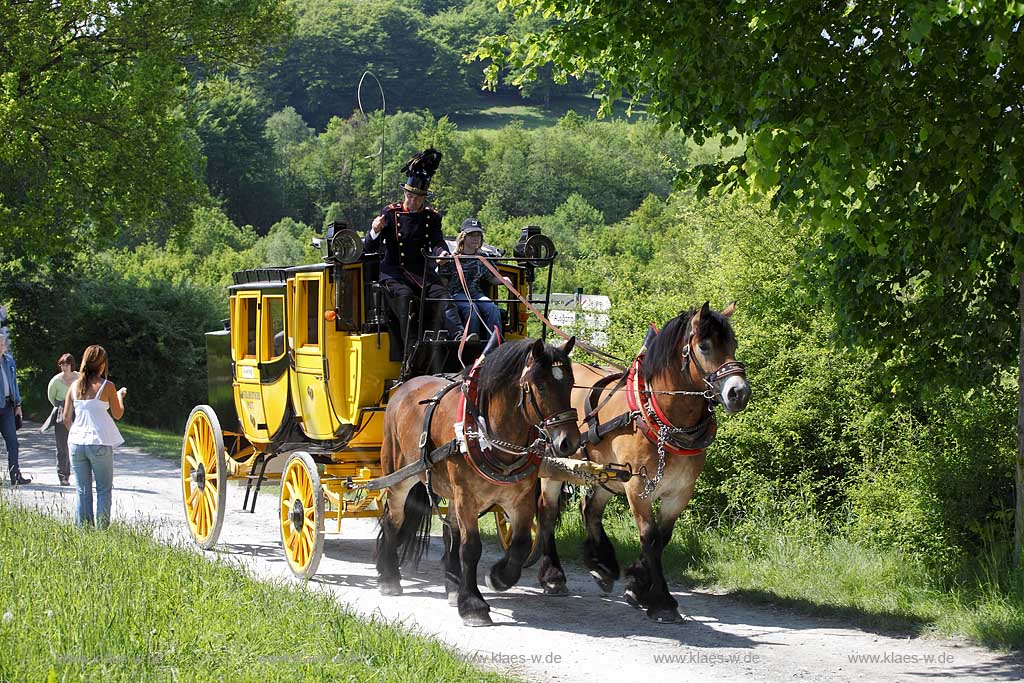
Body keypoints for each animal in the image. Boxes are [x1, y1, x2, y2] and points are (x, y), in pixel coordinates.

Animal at [380, 335, 581, 626]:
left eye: (571, 383)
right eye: (540, 386)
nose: (569, 442)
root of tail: (403, 388)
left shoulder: (520, 499)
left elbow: (520, 544)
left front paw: (498, 577)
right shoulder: (467, 497)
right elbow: (471, 548)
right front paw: (473, 605)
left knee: (450, 531)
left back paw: (453, 585)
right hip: (399, 478)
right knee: (393, 520)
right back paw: (389, 578)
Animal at [532, 305, 749, 626]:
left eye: (733, 344)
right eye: (704, 346)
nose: (739, 392)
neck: (662, 417)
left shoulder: (680, 492)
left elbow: (662, 538)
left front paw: (637, 585)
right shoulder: (638, 487)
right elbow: (649, 536)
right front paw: (662, 602)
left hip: (606, 474)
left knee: (591, 510)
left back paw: (602, 565)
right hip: (554, 465)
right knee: (547, 513)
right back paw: (553, 576)